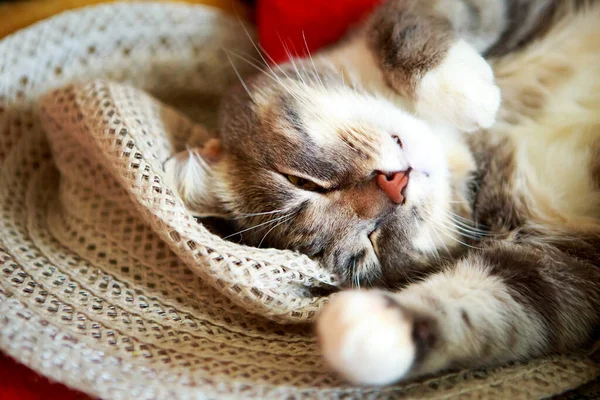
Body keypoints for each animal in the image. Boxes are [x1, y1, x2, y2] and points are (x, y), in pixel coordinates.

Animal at [166, 0, 600, 388]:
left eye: (302, 182)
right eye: (368, 246)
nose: (396, 185)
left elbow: (401, 24)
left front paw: (462, 88)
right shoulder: (567, 262)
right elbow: (505, 307)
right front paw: (374, 330)